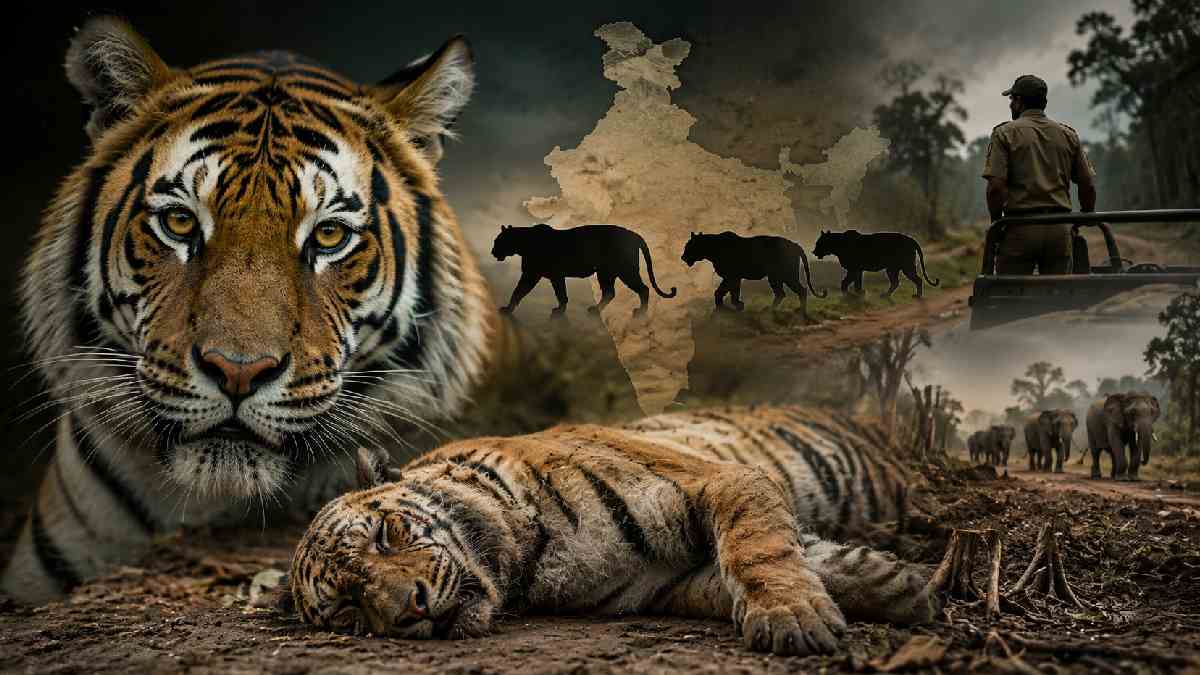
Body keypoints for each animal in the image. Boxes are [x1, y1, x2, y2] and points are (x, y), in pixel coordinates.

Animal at [291, 406, 947, 657]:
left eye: (388, 533)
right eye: (349, 610)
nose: (411, 608)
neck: (530, 564)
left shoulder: (721, 479)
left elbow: (758, 550)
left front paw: (795, 619)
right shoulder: (658, 583)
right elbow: (744, 575)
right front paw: (897, 586)